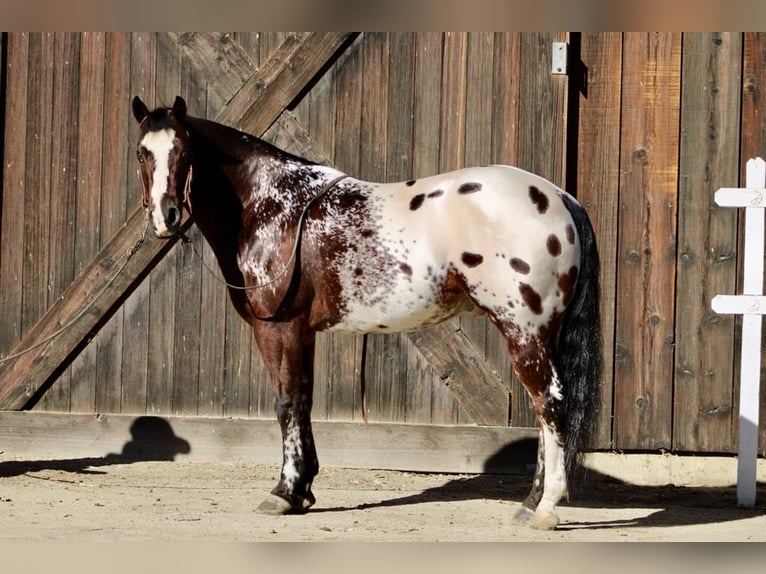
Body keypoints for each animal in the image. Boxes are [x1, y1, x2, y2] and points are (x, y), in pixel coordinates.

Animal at [131, 95, 601, 531]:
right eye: (141, 152)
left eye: (184, 150)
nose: (164, 216)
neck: (269, 205)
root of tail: (559, 197)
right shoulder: (303, 332)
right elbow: (304, 399)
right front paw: (303, 490)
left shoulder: (278, 329)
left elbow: (286, 402)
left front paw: (284, 492)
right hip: (541, 336)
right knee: (544, 410)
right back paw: (529, 503)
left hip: (524, 332)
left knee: (550, 403)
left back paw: (545, 509)